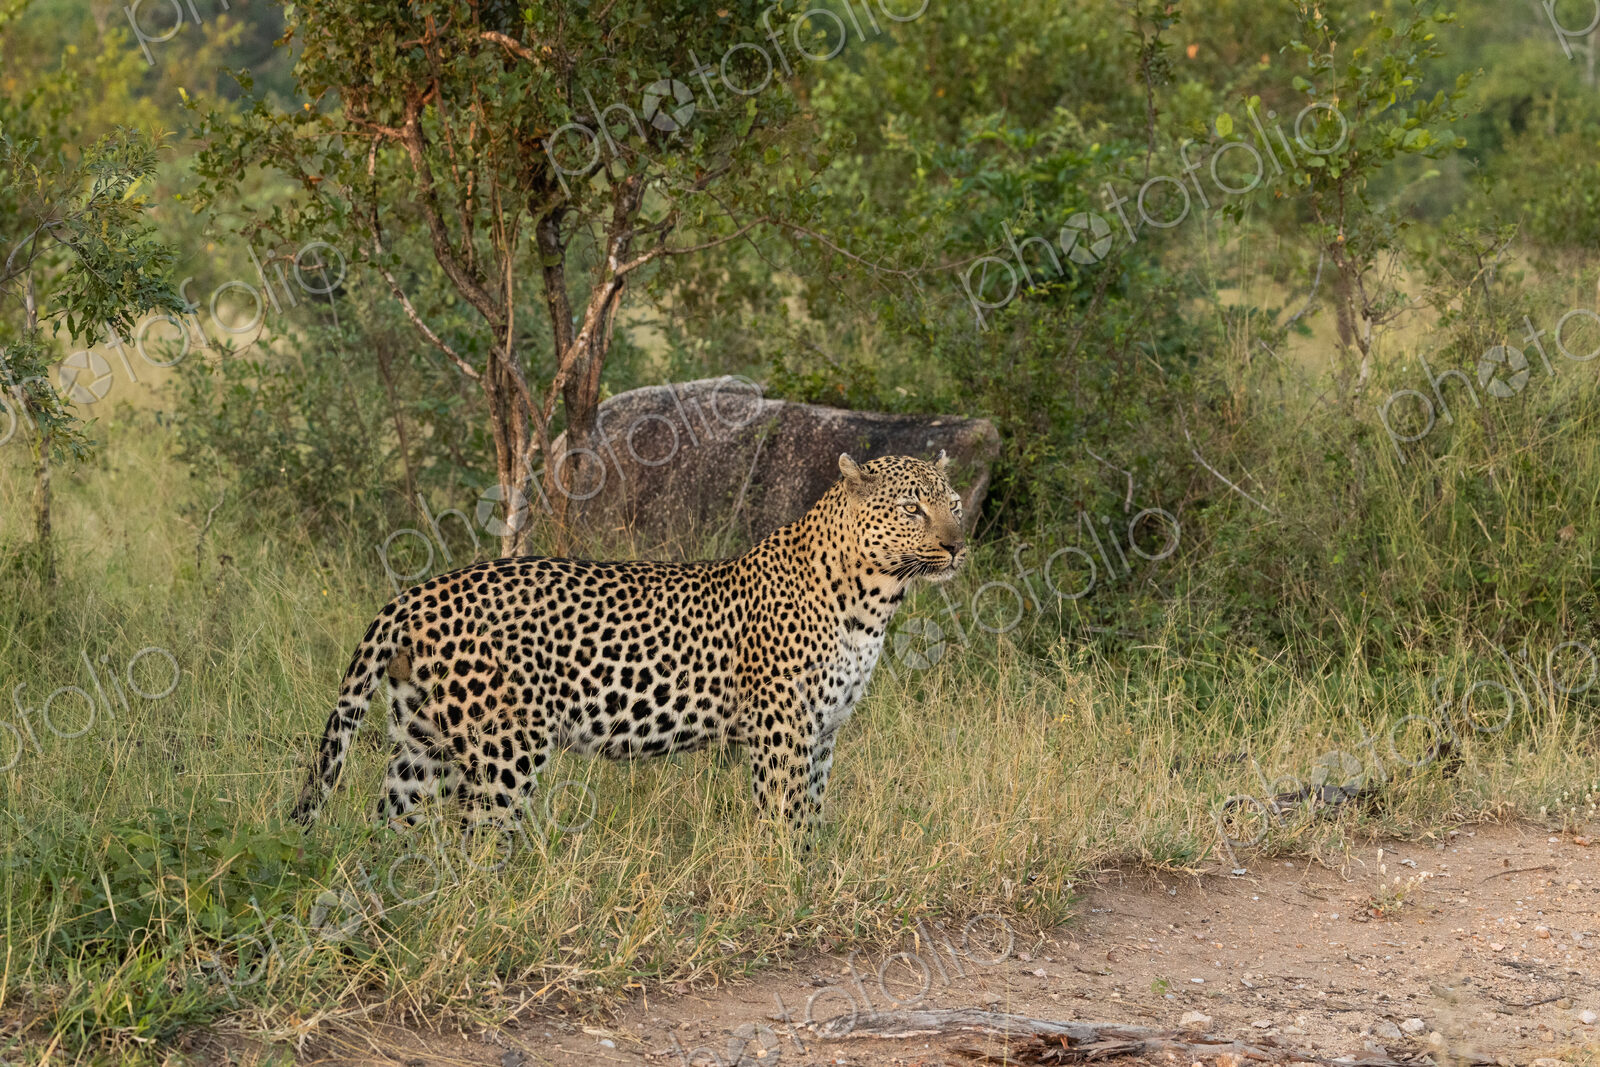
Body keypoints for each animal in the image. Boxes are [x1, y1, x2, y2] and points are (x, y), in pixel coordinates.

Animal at [290, 451, 968, 832]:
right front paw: (792, 889)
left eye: (955, 504)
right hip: (504, 750)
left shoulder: (823, 732)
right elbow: (787, 820)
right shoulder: (783, 731)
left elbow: (814, 815)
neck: (874, 600)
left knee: (391, 828)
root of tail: (416, 594)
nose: (958, 545)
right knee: (476, 841)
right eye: (912, 508)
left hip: (421, 741)